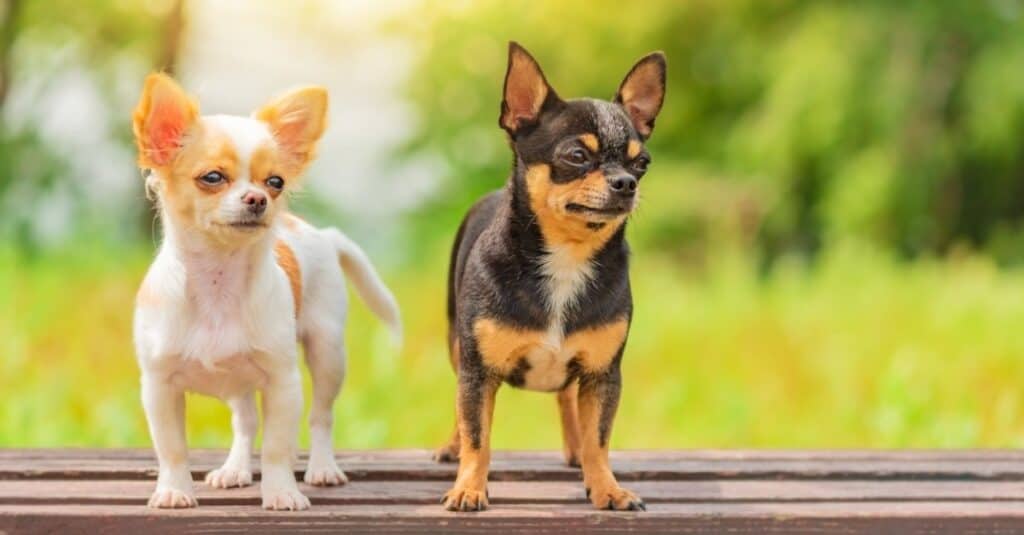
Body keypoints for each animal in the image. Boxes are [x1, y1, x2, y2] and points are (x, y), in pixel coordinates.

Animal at [129, 73, 399, 508]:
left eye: (275, 182)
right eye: (212, 178)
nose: (258, 199)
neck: (218, 280)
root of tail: (322, 233)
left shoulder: (283, 382)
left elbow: (275, 447)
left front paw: (282, 492)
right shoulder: (159, 385)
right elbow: (172, 448)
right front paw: (174, 490)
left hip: (327, 353)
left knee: (321, 416)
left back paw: (322, 468)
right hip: (240, 380)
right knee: (245, 420)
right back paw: (234, 469)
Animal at [436, 43, 667, 510]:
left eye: (642, 162)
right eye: (576, 156)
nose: (626, 182)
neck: (567, 257)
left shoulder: (602, 375)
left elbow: (599, 437)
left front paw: (607, 487)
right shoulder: (478, 372)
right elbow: (477, 434)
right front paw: (469, 486)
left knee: (566, 399)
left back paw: (575, 451)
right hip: (456, 345)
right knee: (461, 410)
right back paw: (451, 449)